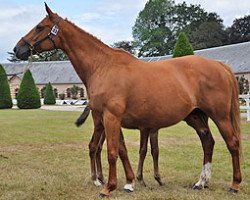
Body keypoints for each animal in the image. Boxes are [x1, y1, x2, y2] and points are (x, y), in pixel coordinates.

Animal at [76, 105, 211, 188]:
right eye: (195, 116)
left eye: (204, 117)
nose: (205, 131)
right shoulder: (144, 128)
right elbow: (143, 150)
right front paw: (141, 179)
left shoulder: (154, 129)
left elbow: (155, 151)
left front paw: (159, 179)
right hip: (100, 125)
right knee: (93, 146)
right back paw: (95, 180)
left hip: (107, 128)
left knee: (98, 148)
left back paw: (101, 178)